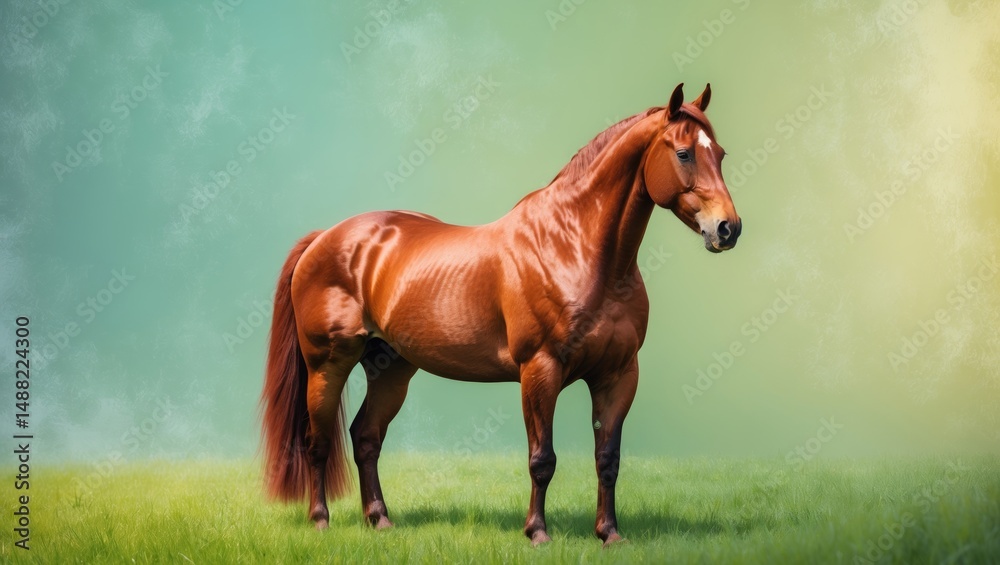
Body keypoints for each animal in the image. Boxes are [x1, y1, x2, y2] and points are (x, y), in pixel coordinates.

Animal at [260, 83, 742, 546]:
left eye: (719, 153)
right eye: (683, 152)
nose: (728, 229)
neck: (575, 248)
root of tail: (326, 236)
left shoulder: (618, 374)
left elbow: (608, 459)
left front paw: (609, 533)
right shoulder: (540, 370)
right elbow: (542, 459)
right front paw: (537, 532)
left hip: (391, 368)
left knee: (365, 437)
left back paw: (379, 520)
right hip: (328, 364)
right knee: (318, 442)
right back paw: (320, 521)